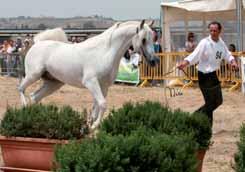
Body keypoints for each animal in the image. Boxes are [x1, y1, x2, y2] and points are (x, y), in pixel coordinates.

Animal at [17, 20, 159, 130]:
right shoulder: (91, 83)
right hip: (33, 75)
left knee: (34, 96)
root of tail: (36, 44)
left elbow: (97, 106)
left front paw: (90, 123)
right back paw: (24, 107)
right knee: (21, 88)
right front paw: (94, 125)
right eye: (143, 39)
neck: (105, 52)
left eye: (153, 38)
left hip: (54, 83)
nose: (154, 61)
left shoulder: (103, 86)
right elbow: (102, 104)